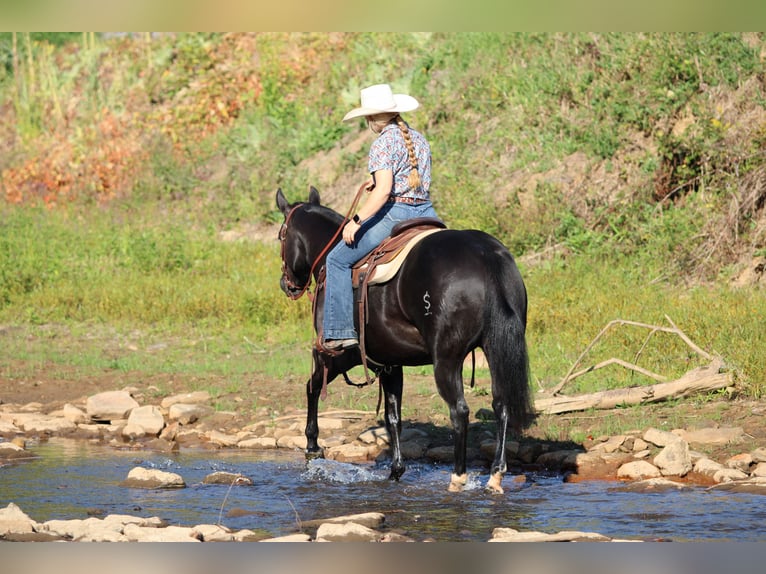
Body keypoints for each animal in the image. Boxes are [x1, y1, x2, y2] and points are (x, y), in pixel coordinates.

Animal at [276, 186, 533, 493]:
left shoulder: (337, 353)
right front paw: (396, 470)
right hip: (495, 349)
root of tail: (485, 255)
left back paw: (458, 477)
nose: (286, 284)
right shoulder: (390, 362)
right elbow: (393, 416)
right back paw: (495, 474)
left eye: (281, 235)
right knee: (501, 405)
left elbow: (312, 387)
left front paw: (313, 447)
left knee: (459, 411)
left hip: (446, 360)